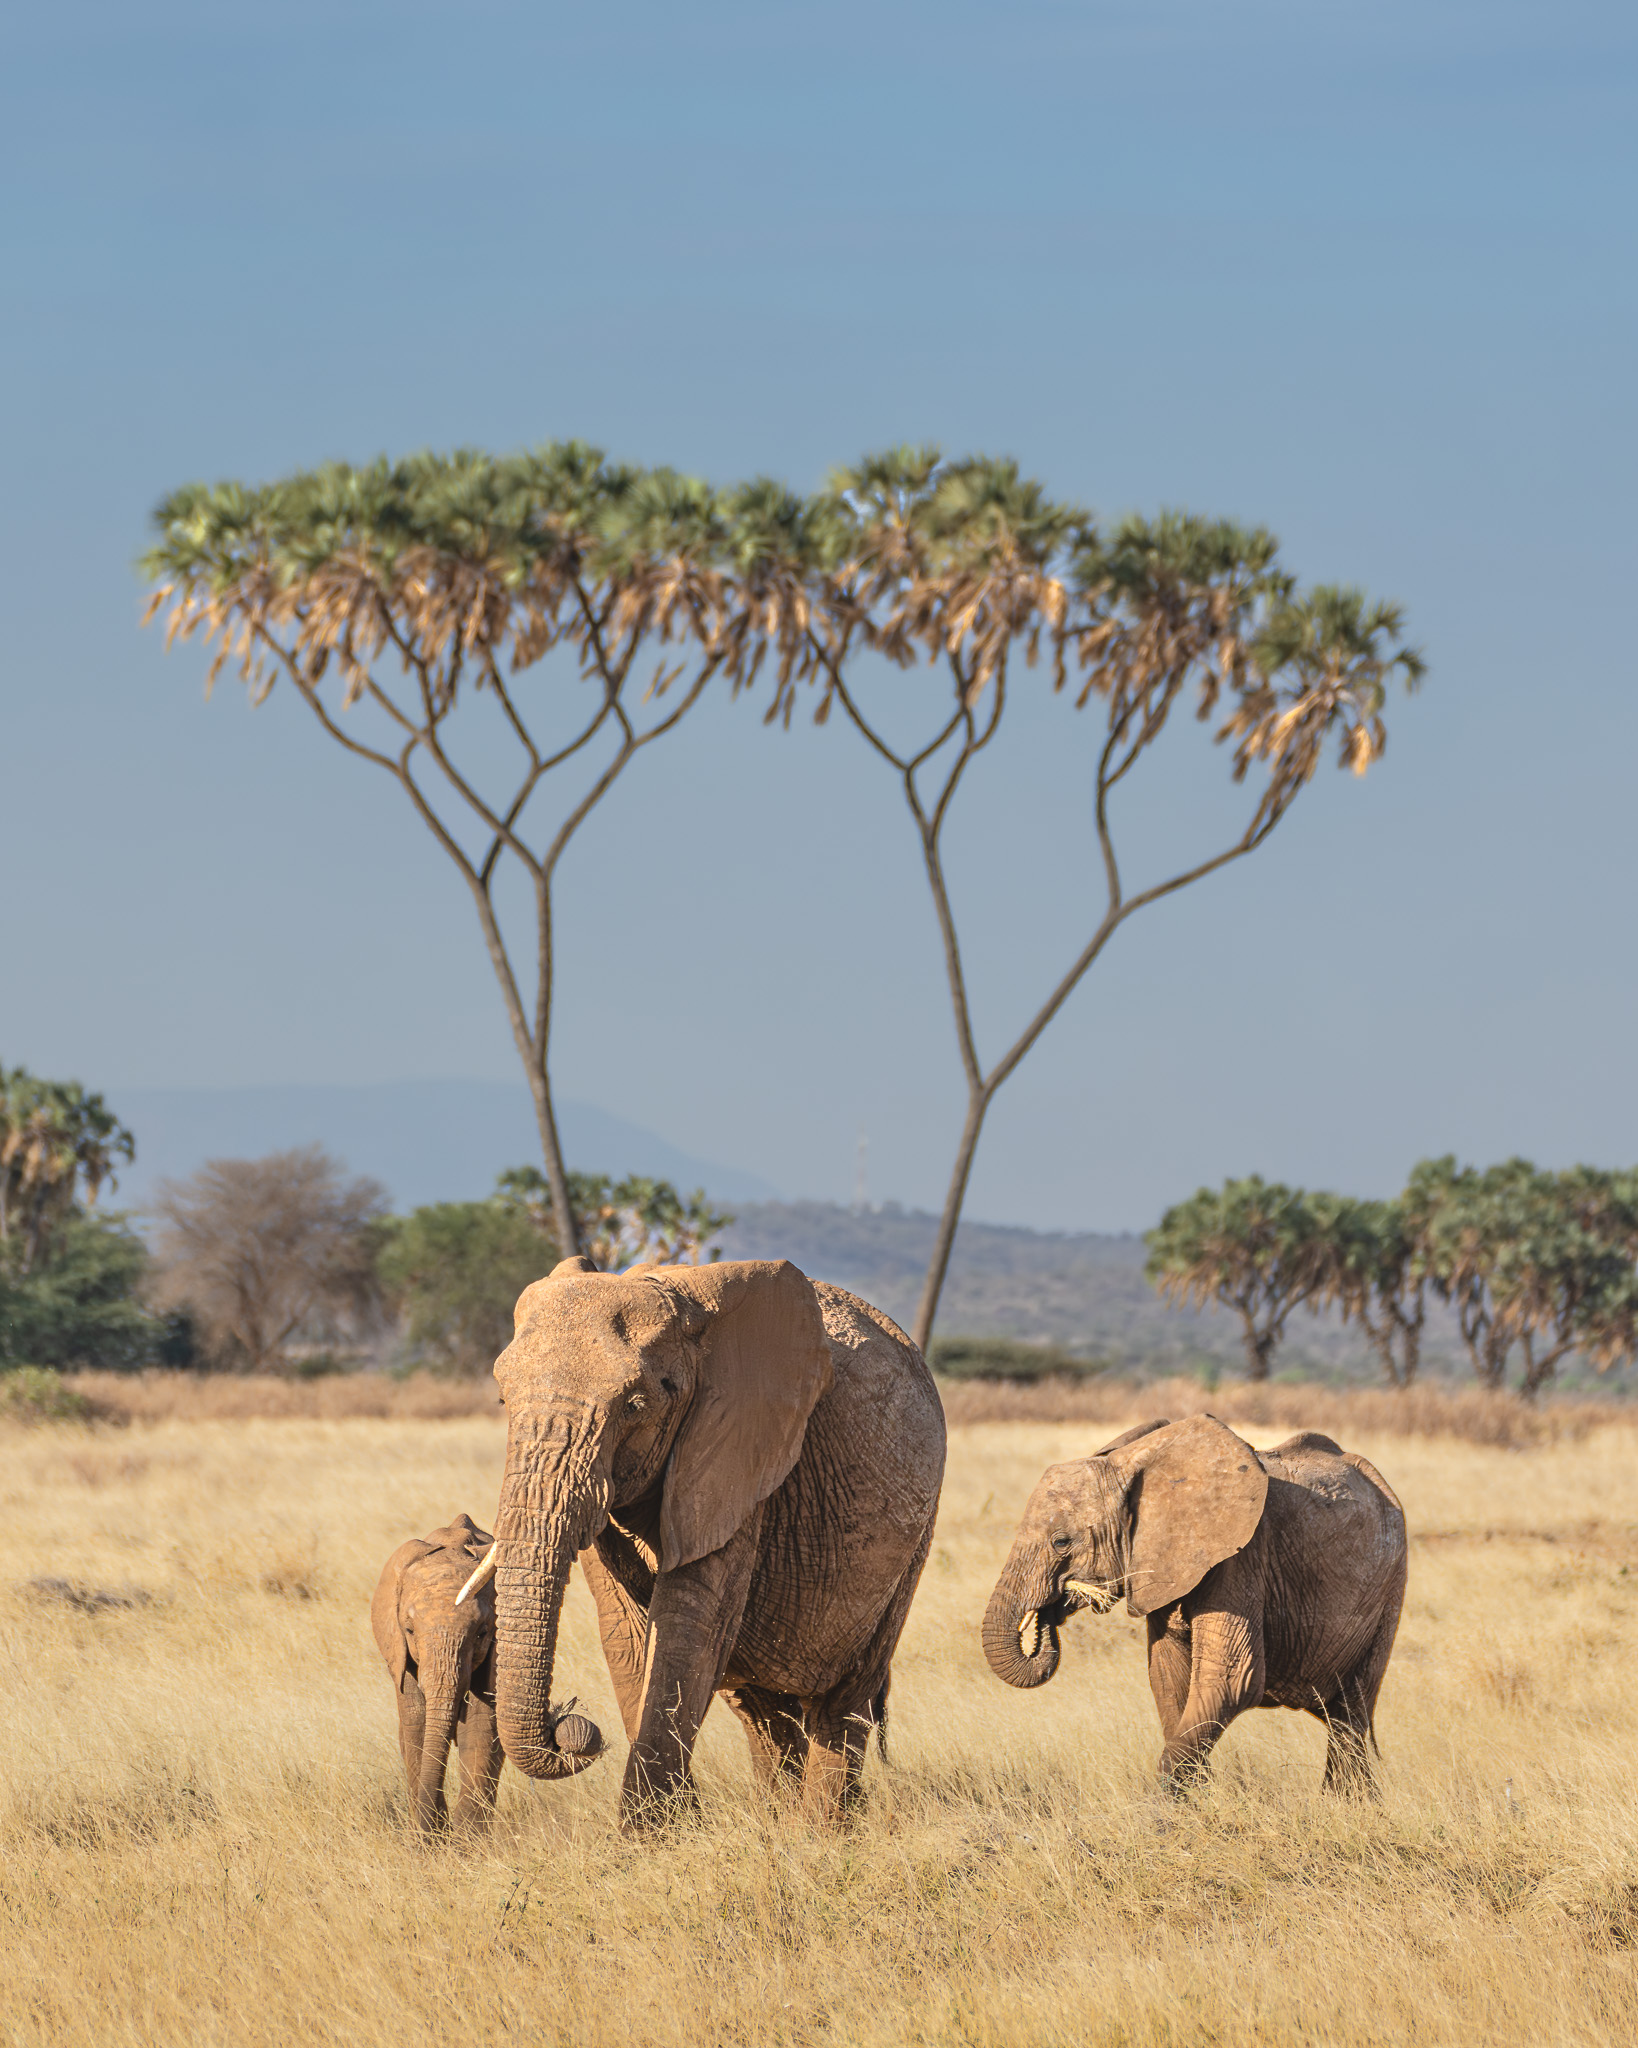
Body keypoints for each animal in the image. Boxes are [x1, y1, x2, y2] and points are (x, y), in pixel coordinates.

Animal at [370, 1512, 601, 1834]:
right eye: (409, 1631)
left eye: (481, 1633)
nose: (561, 1726)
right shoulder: (400, 1656)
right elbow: (416, 1724)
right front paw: (428, 1838)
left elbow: (480, 1726)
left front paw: (466, 1841)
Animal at [458, 1255, 947, 1829]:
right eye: (502, 1399)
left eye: (636, 1405)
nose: (571, 1724)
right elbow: (627, 1632)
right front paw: (672, 1825)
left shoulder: (741, 1459)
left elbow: (690, 1623)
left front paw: (647, 1835)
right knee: (763, 1711)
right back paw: (779, 1820)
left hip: (914, 1541)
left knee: (844, 1700)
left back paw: (821, 1829)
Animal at [981, 1417, 1407, 1792]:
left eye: (1061, 1542)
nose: (1049, 1613)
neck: (1132, 1465)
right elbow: (1168, 1679)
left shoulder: (1242, 1558)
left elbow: (1233, 1682)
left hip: (1390, 1587)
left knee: (1350, 1714)